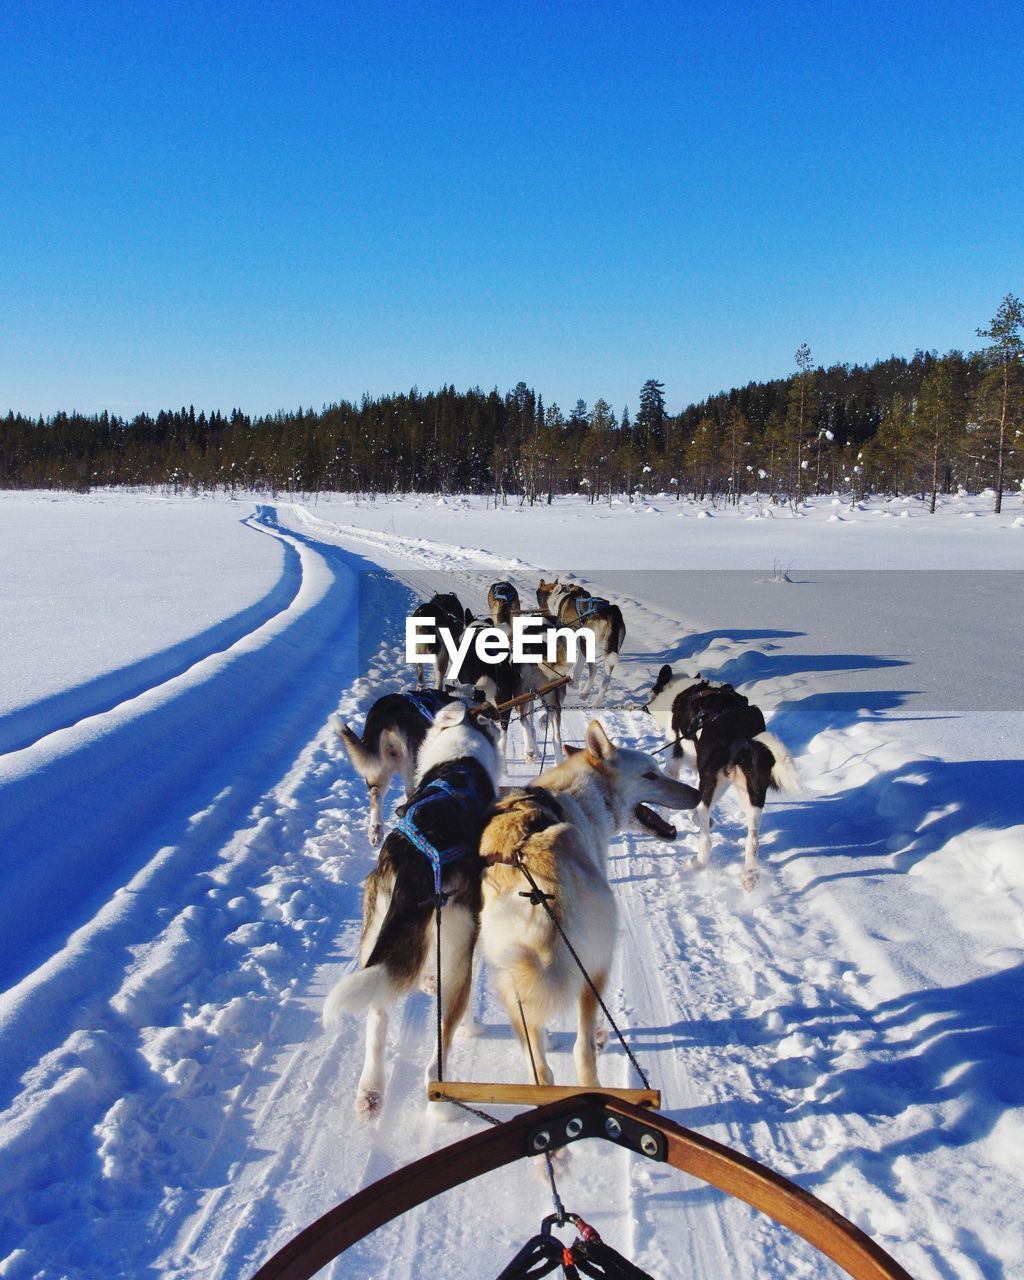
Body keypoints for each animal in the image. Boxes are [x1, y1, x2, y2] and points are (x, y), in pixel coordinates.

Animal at [322, 701, 501, 1121]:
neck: (459, 755)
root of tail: (415, 864)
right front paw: (472, 1026)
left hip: (375, 936)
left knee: (377, 1014)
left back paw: (370, 1091)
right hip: (455, 946)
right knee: (438, 1050)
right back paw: (442, 1102)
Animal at [478, 727, 701, 1085]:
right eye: (650, 774)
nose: (698, 793)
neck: (582, 794)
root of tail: (539, 893)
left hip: (510, 971)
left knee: (541, 1069)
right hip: (597, 965)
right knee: (582, 1051)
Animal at [640, 670, 798, 890]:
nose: (645, 704)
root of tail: (743, 732)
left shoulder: (675, 767)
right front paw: (702, 820)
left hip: (716, 781)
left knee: (706, 841)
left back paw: (699, 862)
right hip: (752, 791)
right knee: (752, 841)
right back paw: (750, 875)